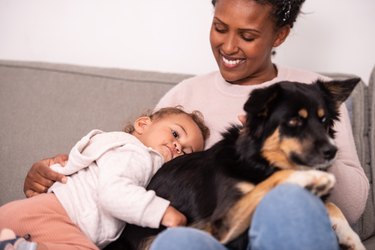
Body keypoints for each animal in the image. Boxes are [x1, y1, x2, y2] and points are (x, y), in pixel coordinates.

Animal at [104, 78, 366, 250]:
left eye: (324, 121)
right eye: (293, 121)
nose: (332, 151)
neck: (258, 162)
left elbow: (334, 207)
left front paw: (352, 238)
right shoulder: (222, 221)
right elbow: (271, 183)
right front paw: (310, 177)